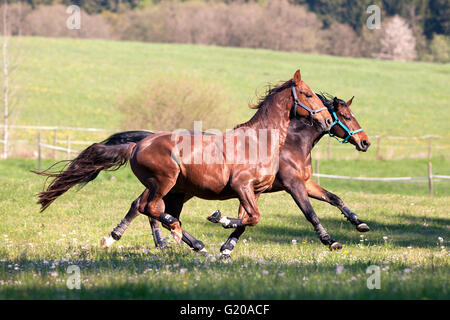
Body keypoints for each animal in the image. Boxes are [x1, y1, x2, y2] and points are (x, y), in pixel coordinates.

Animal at [33, 68, 332, 248]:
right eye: (307, 94)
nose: (328, 120)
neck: (260, 141)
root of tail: (138, 144)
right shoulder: (243, 186)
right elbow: (254, 217)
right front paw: (219, 219)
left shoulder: (255, 190)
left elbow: (249, 218)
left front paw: (225, 238)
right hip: (165, 181)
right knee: (150, 207)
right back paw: (180, 236)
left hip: (175, 189)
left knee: (150, 208)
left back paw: (187, 242)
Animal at [96, 92, 370, 255]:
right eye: (346, 116)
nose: (365, 142)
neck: (289, 143)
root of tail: (145, 141)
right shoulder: (292, 185)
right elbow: (309, 212)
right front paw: (330, 240)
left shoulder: (301, 183)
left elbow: (334, 198)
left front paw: (360, 223)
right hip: (173, 186)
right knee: (144, 206)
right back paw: (129, 238)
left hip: (180, 189)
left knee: (147, 206)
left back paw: (151, 240)